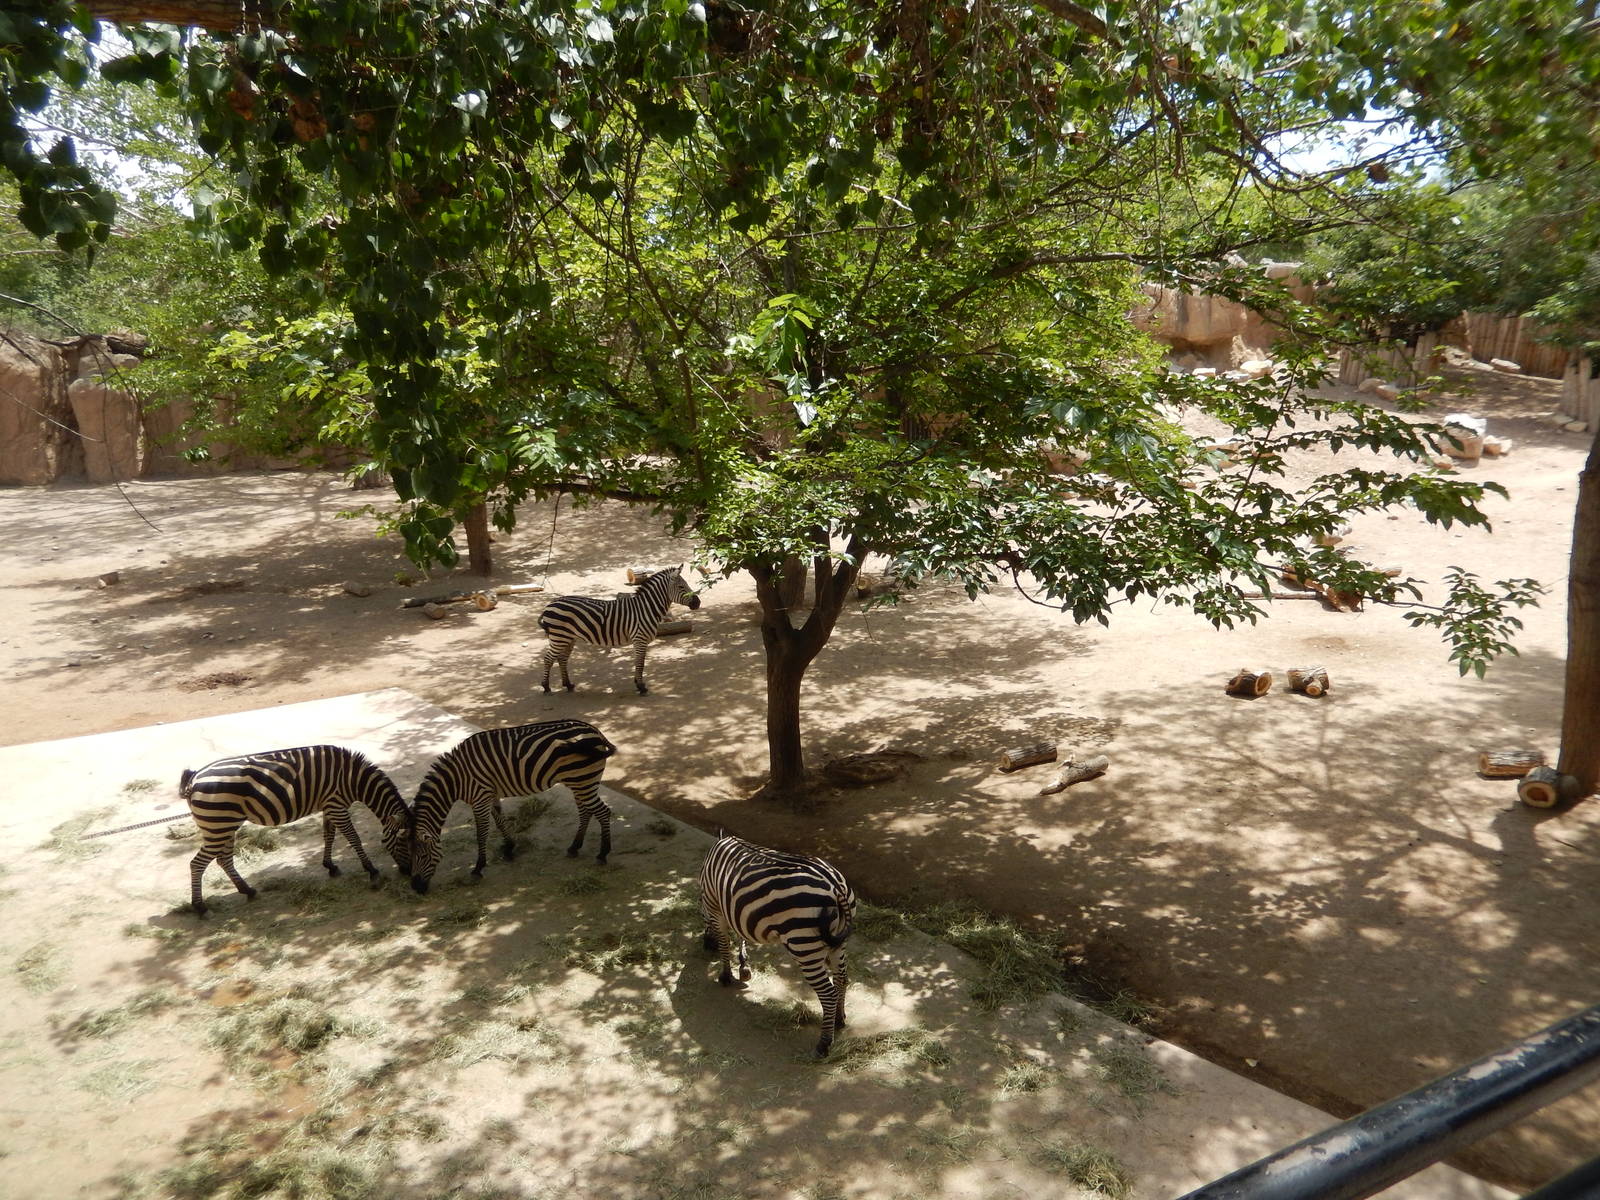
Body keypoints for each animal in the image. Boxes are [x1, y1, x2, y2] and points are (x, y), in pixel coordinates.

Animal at [179, 745, 412, 916]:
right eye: (405, 841)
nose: (408, 872)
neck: (353, 780)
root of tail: (194, 777)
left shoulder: (329, 806)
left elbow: (329, 835)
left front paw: (330, 866)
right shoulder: (336, 805)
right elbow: (353, 838)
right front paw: (371, 870)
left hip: (225, 825)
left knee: (223, 859)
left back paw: (248, 890)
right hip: (218, 824)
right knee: (197, 863)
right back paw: (201, 908)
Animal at [408, 719, 617, 893]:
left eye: (423, 856)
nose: (416, 888)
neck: (456, 780)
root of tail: (595, 731)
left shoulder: (480, 797)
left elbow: (481, 833)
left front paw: (478, 867)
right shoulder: (490, 795)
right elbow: (499, 820)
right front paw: (509, 847)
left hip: (583, 780)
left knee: (603, 812)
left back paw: (603, 853)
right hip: (580, 782)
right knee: (586, 811)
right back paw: (574, 847)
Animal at [539, 564, 700, 695]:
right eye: (681, 587)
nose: (698, 603)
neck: (646, 608)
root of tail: (550, 604)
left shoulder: (640, 641)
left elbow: (638, 662)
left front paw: (637, 683)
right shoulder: (640, 639)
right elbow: (640, 663)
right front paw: (641, 687)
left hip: (568, 638)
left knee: (562, 659)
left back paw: (568, 685)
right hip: (559, 637)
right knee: (548, 658)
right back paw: (546, 687)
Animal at [698, 834, 857, 1057]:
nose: (705, 946)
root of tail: (835, 886)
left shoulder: (716, 908)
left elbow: (724, 943)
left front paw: (726, 975)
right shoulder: (735, 910)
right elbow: (740, 935)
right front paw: (743, 966)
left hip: (804, 945)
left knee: (828, 993)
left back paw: (824, 1044)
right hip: (838, 943)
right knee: (842, 979)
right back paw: (838, 1020)